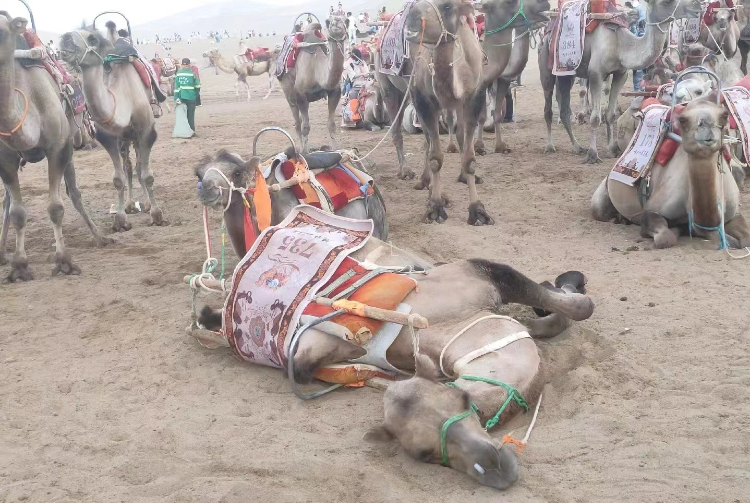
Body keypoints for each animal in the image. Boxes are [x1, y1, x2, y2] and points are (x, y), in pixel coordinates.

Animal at [59, 20, 166, 231]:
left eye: (93, 38)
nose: (65, 39)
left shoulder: (147, 132)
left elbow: (147, 175)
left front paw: (156, 215)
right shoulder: (108, 137)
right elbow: (118, 178)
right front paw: (121, 220)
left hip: (137, 135)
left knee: (139, 165)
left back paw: (147, 204)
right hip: (125, 138)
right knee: (129, 165)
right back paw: (130, 204)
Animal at [280, 15, 350, 154]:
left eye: (345, 19)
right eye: (330, 21)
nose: (337, 21)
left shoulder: (334, 92)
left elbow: (331, 124)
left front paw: (335, 150)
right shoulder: (300, 94)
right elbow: (305, 127)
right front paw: (305, 153)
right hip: (288, 91)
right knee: (297, 123)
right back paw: (300, 149)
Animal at [540, 0, 704, 162]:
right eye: (667, 2)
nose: (698, 5)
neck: (620, 45)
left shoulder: (621, 74)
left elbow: (610, 115)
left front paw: (612, 149)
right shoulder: (595, 74)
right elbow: (595, 118)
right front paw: (593, 154)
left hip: (567, 74)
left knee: (564, 108)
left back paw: (577, 147)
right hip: (547, 66)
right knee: (548, 107)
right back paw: (550, 146)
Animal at [592, 98, 750, 248]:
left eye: (724, 115)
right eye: (683, 119)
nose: (706, 128)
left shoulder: (733, 214)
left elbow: (745, 239)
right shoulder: (652, 210)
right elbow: (665, 237)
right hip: (602, 198)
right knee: (600, 210)